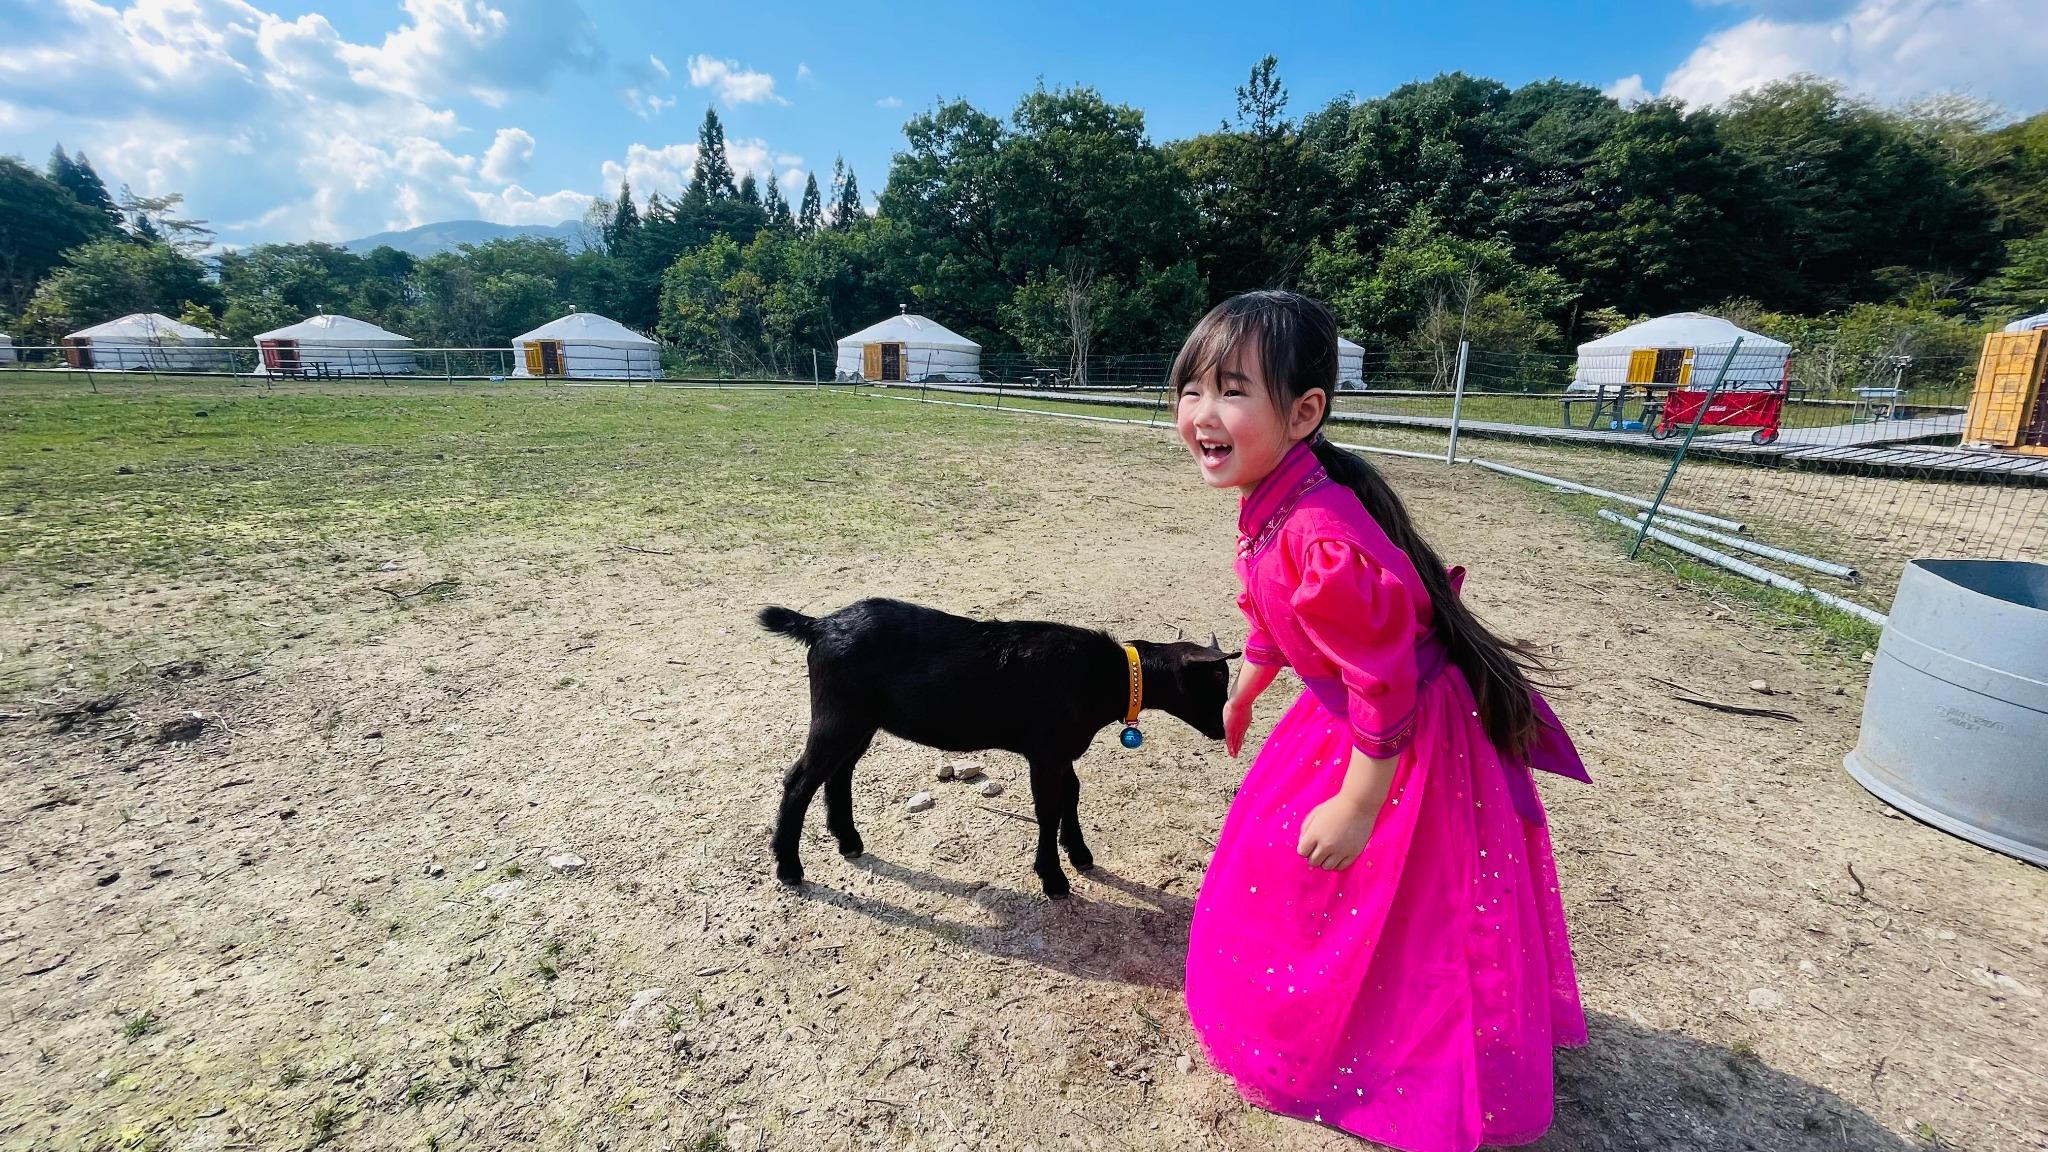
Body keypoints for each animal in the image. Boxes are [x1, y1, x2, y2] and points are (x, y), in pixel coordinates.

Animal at [757, 602, 1220, 897]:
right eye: (1214, 684)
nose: (1221, 731)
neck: (1105, 676)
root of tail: (819, 625)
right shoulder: (1045, 751)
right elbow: (1048, 807)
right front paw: (1053, 879)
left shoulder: (1060, 750)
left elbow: (1071, 795)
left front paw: (1079, 853)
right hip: (839, 715)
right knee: (799, 779)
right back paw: (789, 867)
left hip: (860, 721)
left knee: (839, 771)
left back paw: (848, 839)